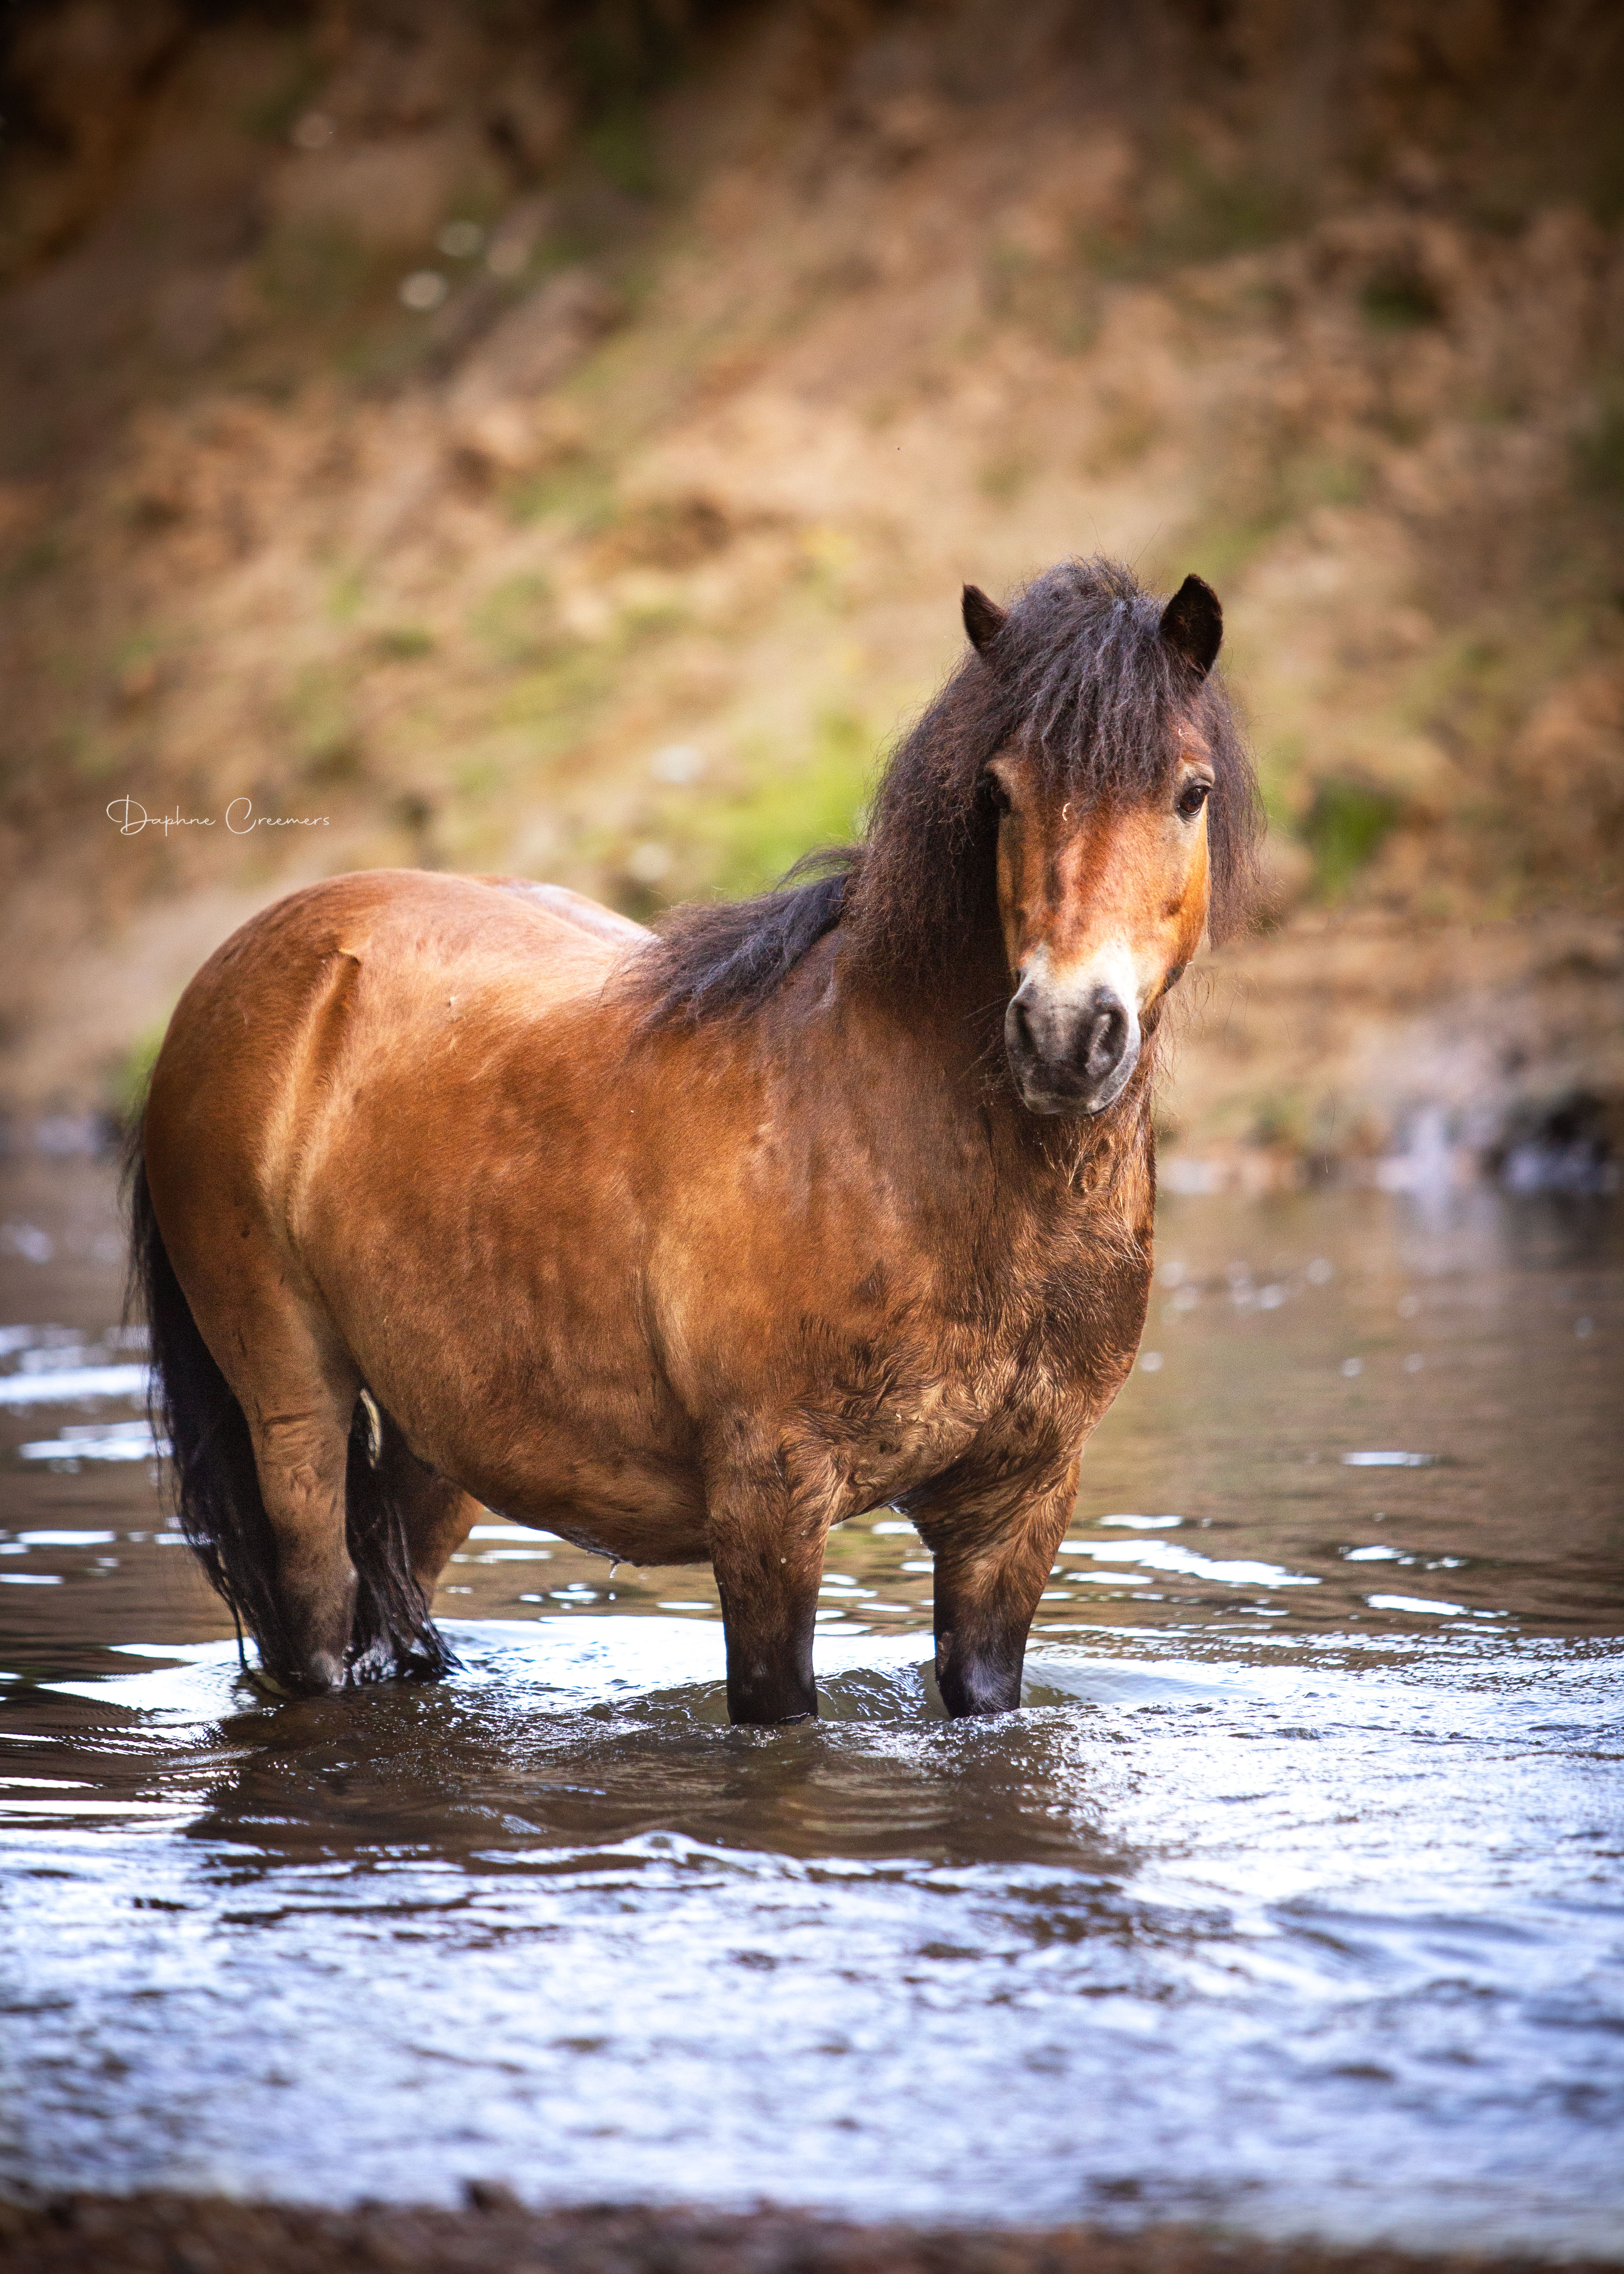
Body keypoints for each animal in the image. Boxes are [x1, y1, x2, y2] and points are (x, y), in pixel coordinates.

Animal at [128, 556, 1258, 1723]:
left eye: (1190, 791)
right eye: (998, 792)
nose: (1067, 1034)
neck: (923, 1154)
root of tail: (262, 956)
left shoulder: (1016, 1503)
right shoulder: (769, 1499)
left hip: (437, 1428)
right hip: (292, 1407)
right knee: (314, 1621)